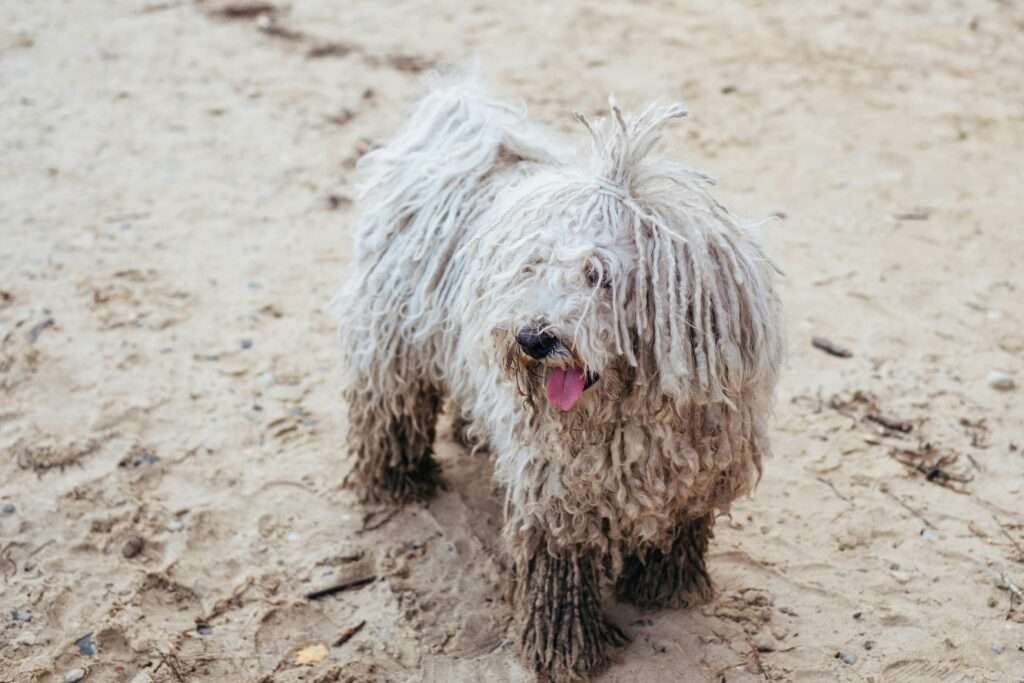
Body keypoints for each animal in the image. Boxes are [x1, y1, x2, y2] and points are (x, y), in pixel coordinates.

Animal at [335, 76, 782, 683]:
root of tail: (457, 122)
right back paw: (397, 481)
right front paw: (565, 652)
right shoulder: (557, 487)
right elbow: (560, 569)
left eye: (601, 275)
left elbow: (680, 529)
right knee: (389, 406)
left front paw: (669, 586)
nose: (532, 338)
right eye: (533, 265)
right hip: (392, 336)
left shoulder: (698, 469)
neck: (629, 413)